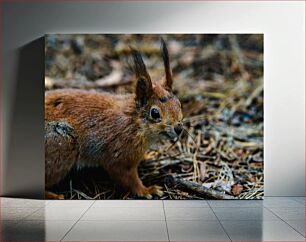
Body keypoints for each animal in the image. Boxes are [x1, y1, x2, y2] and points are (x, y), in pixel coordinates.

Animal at [45, 39, 183, 199]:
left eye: (179, 104)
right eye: (155, 113)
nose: (178, 128)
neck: (135, 122)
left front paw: (148, 156)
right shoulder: (119, 157)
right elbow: (129, 179)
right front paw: (147, 190)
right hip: (61, 148)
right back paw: (54, 195)